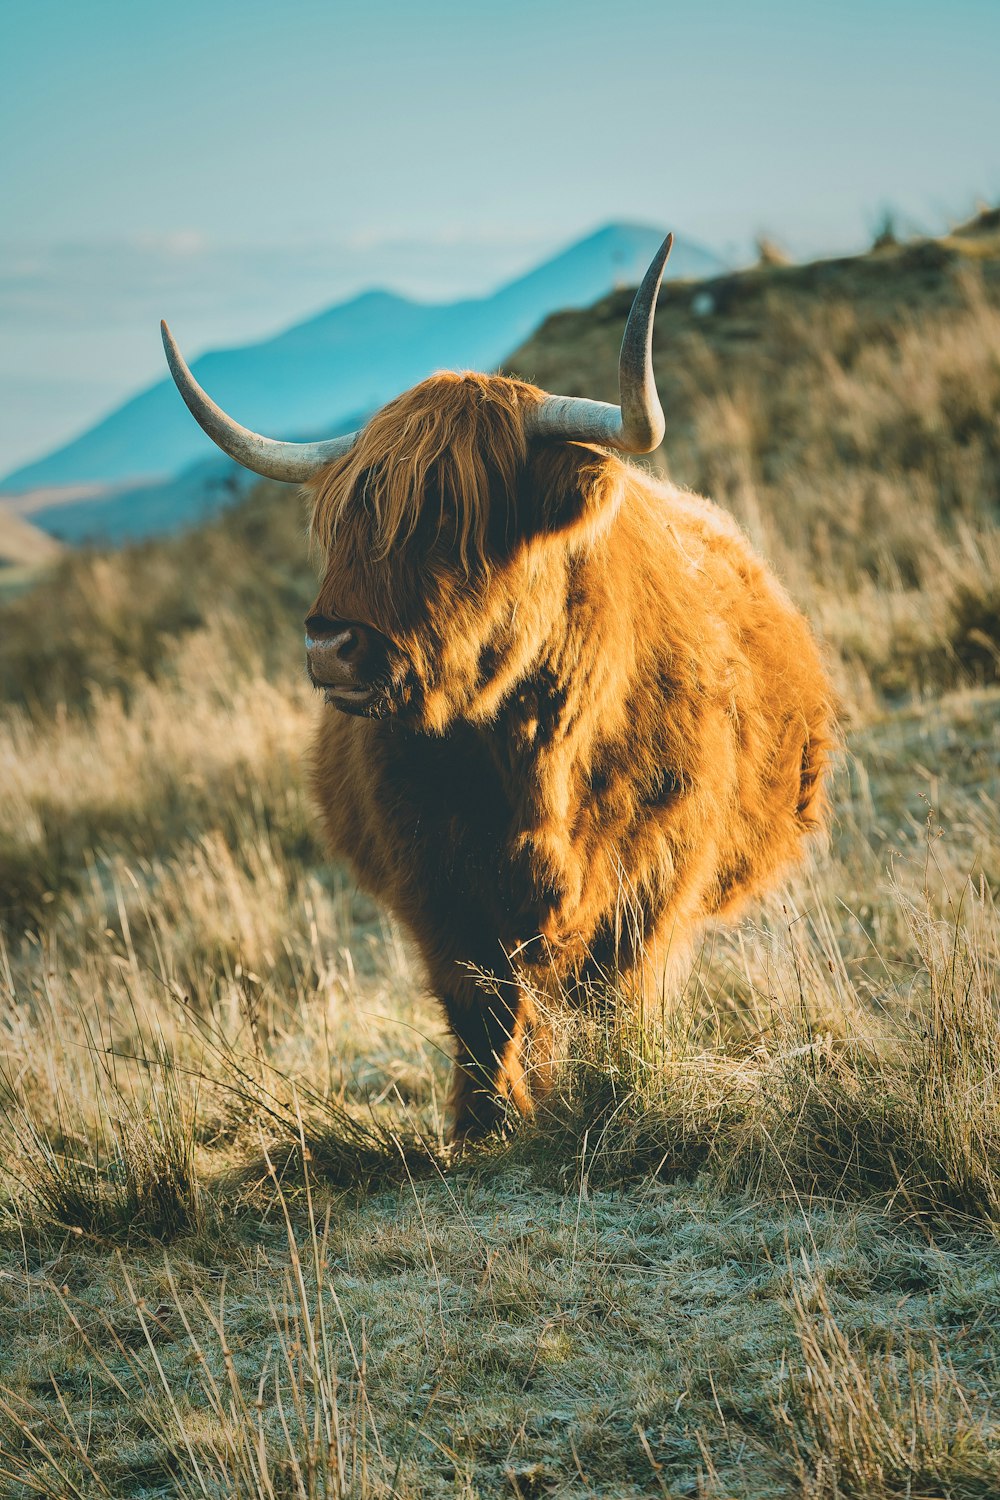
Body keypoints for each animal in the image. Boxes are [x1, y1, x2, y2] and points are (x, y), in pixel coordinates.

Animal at [162, 237, 839, 1134]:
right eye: (343, 521)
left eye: (452, 516)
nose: (332, 646)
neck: (531, 754)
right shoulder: (435, 890)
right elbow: (480, 1009)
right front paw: (487, 1126)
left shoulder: (653, 880)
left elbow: (617, 999)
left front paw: (614, 1091)